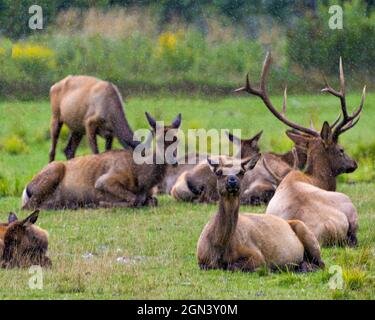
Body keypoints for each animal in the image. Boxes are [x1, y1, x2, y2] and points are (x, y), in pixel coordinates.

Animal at [21, 112, 183, 210]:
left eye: (177, 138)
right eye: (160, 139)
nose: (174, 161)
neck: (143, 180)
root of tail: (27, 188)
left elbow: (152, 200)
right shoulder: (105, 180)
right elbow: (134, 199)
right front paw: (103, 203)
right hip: (54, 170)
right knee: (29, 206)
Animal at [197, 156, 326, 272]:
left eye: (241, 172)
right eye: (218, 172)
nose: (232, 180)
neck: (218, 248)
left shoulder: (256, 255)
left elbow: (234, 266)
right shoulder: (201, 260)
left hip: (307, 233)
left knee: (321, 264)